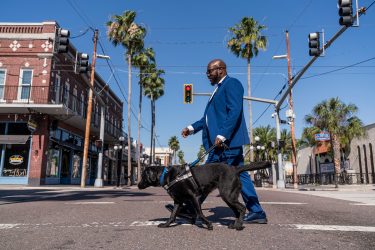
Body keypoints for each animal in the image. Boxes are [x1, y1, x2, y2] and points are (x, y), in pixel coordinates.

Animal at [138, 162, 270, 230]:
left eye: (143, 176)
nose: (138, 185)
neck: (167, 175)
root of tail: (235, 169)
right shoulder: (178, 201)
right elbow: (172, 215)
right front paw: (166, 225)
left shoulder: (194, 197)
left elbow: (200, 213)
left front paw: (208, 224)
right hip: (229, 197)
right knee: (237, 211)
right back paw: (235, 224)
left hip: (227, 195)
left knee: (242, 208)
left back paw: (238, 226)